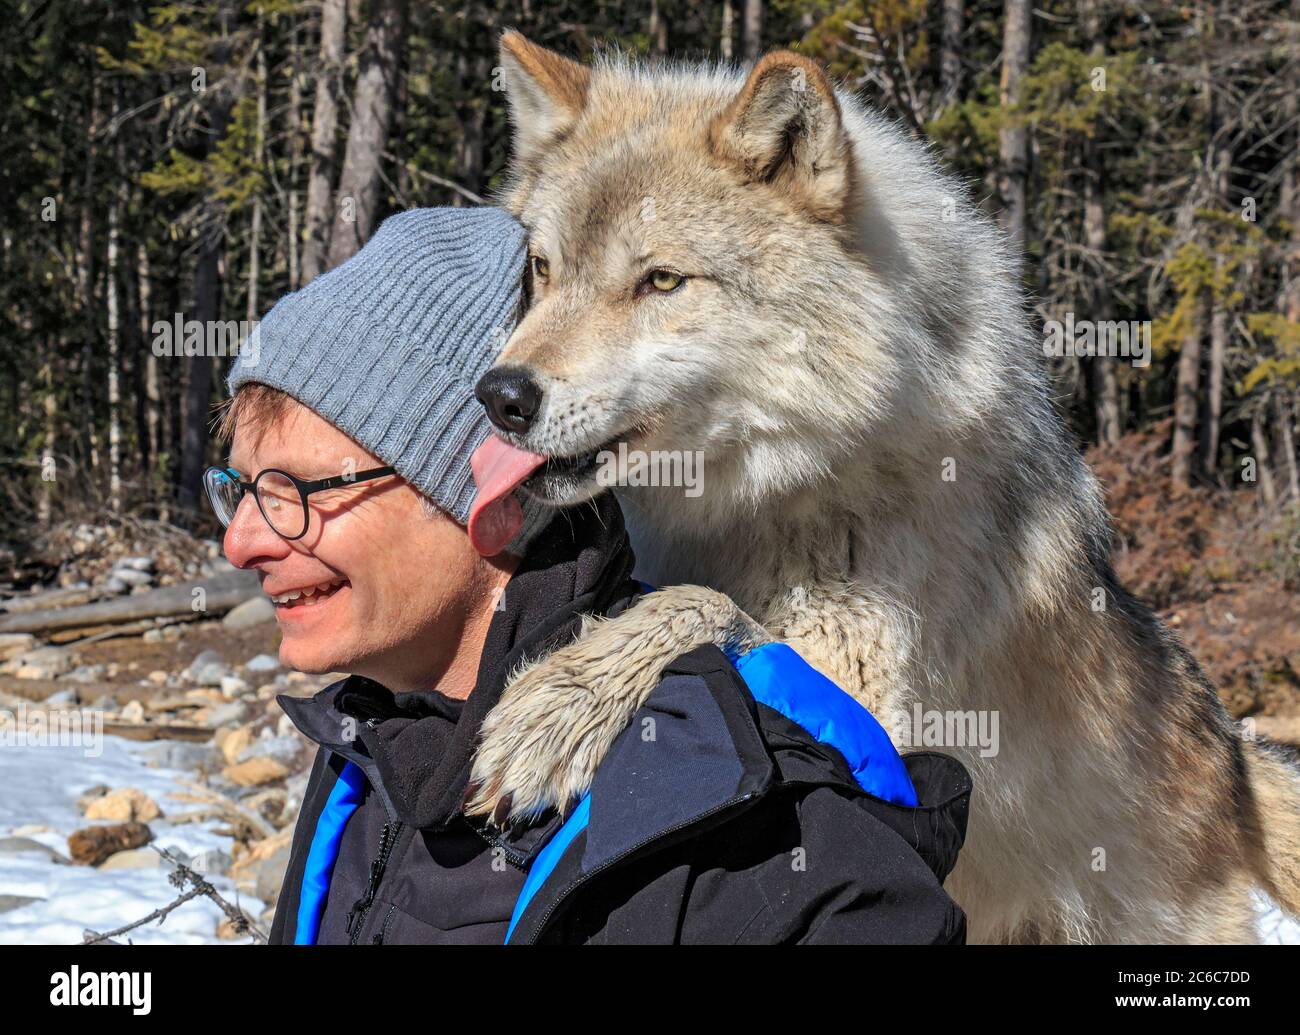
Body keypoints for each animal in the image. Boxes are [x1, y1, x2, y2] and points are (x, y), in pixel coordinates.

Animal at [464, 30, 1300, 943]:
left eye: (661, 281)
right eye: (542, 270)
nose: (501, 396)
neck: (763, 503)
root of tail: (1239, 766)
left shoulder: (880, 723)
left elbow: (702, 606)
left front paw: (558, 704)